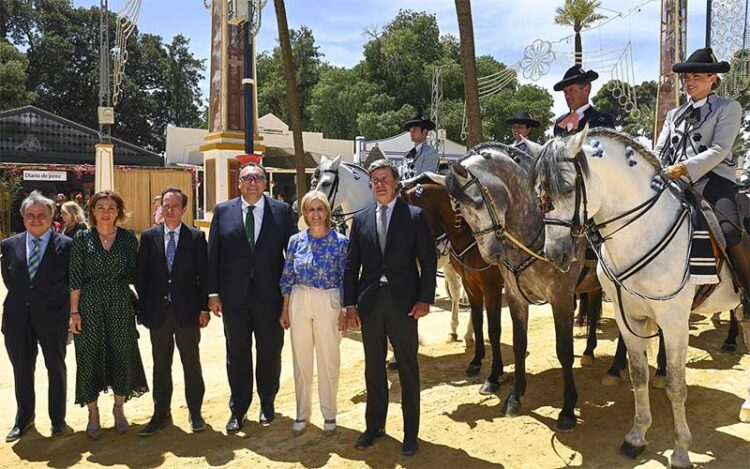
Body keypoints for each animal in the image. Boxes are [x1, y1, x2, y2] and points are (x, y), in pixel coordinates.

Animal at [314, 155, 472, 342]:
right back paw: (453, 330)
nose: (316, 204)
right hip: (448, 263)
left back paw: (469, 332)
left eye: (325, 183)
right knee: (456, 291)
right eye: (314, 180)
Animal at [532, 126, 748, 466]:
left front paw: (681, 450)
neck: (642, 232)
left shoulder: (674, 322)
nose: (555, 254)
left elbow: (676, 385)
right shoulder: (629, 318)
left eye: (566, 188)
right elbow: (637, 375)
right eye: (539, 192)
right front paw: (637, 437)